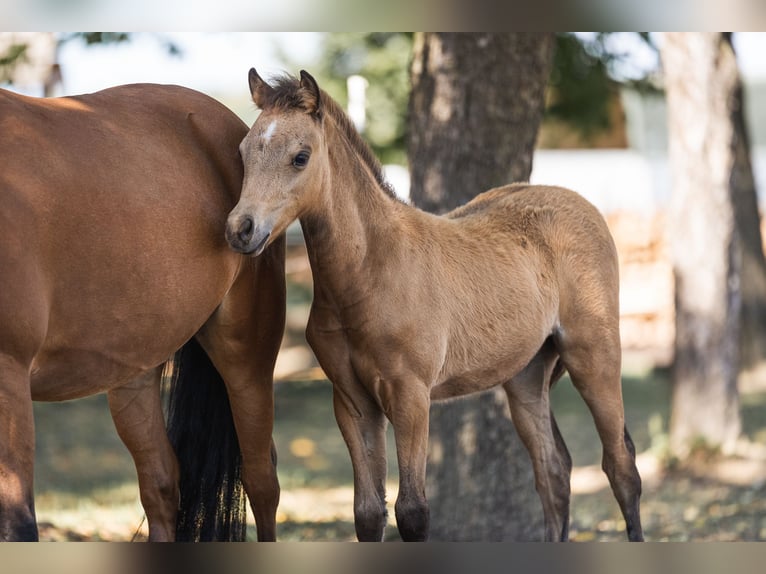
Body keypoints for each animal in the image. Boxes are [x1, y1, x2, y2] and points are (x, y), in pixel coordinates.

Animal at [0, 83, 284, 544]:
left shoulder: (8, 376)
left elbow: (18, 526)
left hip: (246, 361)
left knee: (261, 479)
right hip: (133, 373)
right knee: (162, 484)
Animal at [228, 68, 648, 544]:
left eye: (300, 157)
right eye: (244, 151)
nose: (240, 229)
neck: (371, 269)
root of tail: (583, 206)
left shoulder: (411, 396)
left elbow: (412, 512)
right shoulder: (352, 401)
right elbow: (368, 514)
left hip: (593, 356)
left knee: (621, 467)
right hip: (527, 375)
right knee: (553, 472)